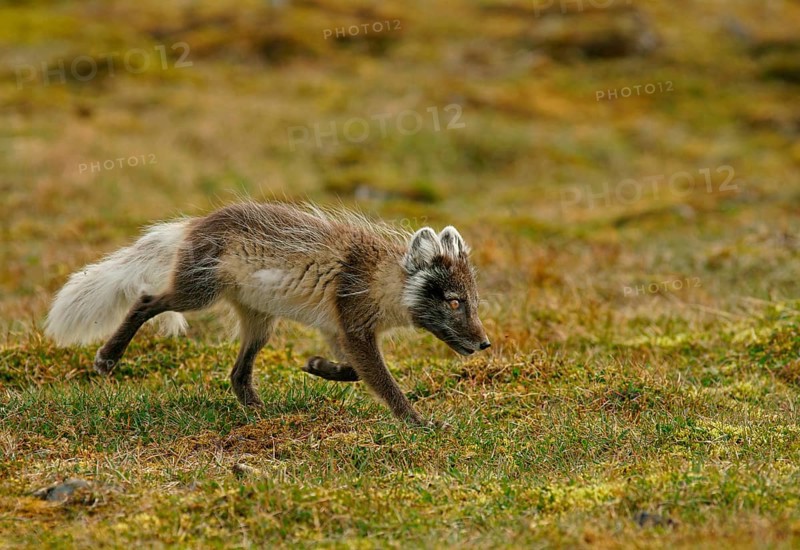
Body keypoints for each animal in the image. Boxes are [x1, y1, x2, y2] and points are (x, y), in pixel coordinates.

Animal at [45, 201, 491, 425]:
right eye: (453, 301)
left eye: (473, 299)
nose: (485, 343)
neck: (381, 277)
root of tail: (195, 223)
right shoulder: (354, 326)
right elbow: (384, 382)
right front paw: (418, 422)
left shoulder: (338, 330)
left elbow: (351, 370)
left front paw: (317, 366)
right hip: (198, 293)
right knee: (145, 301)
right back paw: (108, 357)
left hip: (260, 321)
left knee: (237, 374)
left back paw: (260, 412)